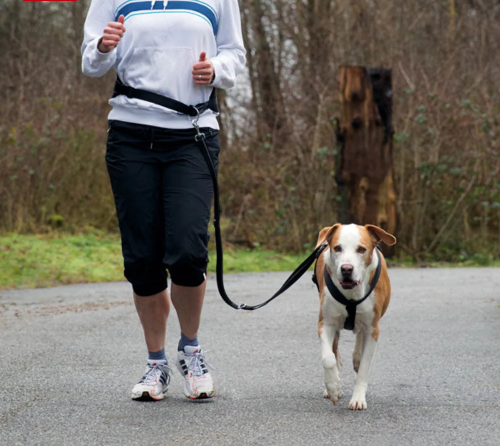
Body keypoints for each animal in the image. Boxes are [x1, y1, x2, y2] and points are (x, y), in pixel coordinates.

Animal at [314, 223, 396, 412]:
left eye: (361, 249)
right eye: (337, 248)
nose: (346, 269)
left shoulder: (373, 329)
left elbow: (365, 367)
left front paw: (358, 399)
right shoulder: (326, 323)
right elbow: (328, 358)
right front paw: (333, 387)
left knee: (359, 336)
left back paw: (357, 357)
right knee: (335, 351)